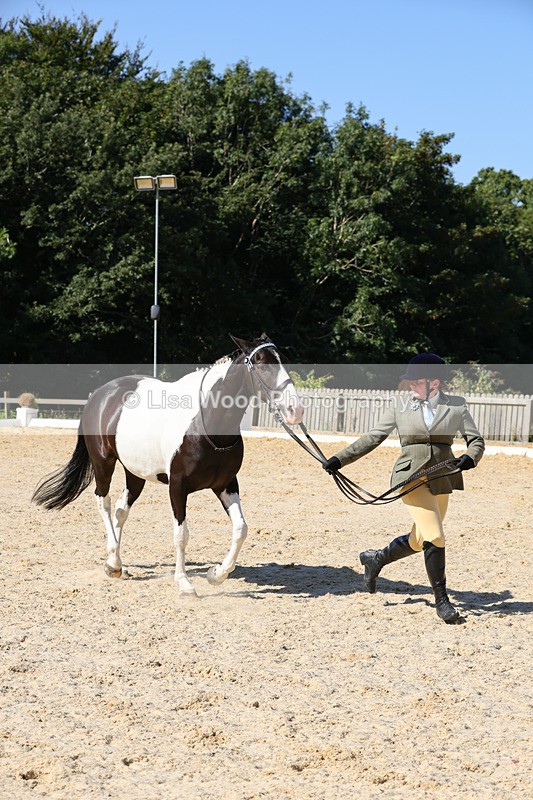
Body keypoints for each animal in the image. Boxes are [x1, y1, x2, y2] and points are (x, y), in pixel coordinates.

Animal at [32, 334, 303, 596]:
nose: (296, 410)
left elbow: (241, 528)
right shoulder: (178, 486)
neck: (206, 422)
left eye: (285, 360)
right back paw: (114, 563)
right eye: (262, 364)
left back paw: (115, 563)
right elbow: (181, 535)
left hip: (135, 473)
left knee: (121, 509)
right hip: (103, 463)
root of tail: (98, 395)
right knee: (104, 503)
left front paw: (217, 574)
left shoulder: (226, 484)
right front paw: (184, 584)